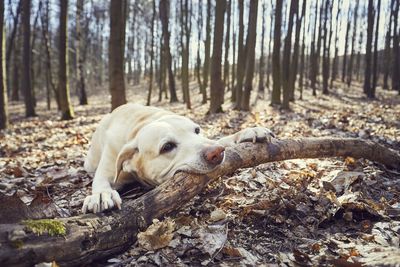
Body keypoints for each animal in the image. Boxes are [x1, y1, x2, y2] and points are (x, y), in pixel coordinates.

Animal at [81, 103, 276, 215]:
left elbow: (221, 139)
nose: (216, 153)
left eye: (197, 130)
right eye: (167, 147)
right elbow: (101, 180)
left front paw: (247, 132)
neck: (140, 125)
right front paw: (101, 194)